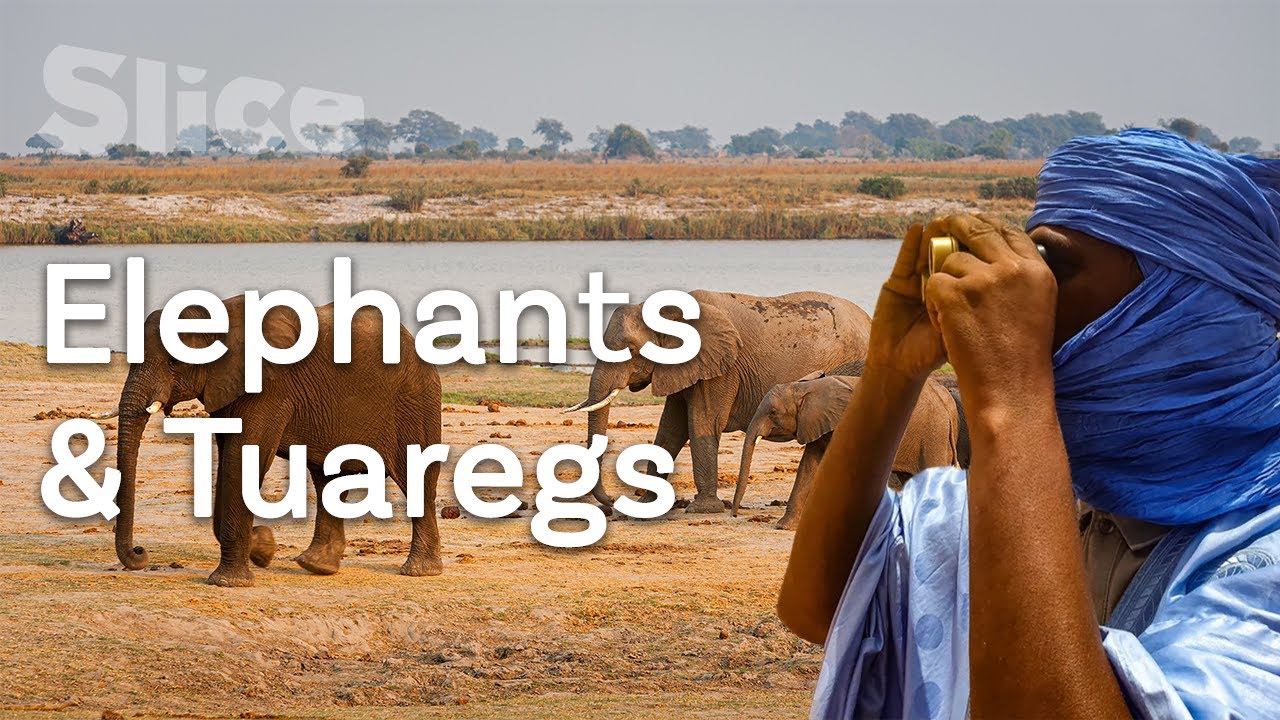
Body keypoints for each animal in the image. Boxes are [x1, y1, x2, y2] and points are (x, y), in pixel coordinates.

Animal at [106, 295, 443, 587]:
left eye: (175, 363)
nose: (140, 553)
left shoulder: (269, 388)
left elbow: (243, 458)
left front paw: (229, 582)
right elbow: (229, 457)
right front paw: (263, 548)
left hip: (416, 400)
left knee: (415, 476)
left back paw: (419, 571)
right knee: (327, 478)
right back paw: (316, 565)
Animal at [565, 290, 871, 514]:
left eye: (630, 349)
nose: (611, 505)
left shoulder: (721, 367)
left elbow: (703, 422)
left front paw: (703, 510)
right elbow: (671, 430)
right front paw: (647, 505)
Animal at [733, 371, 966, 529]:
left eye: (772, 412)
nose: (734, 515)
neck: (807, 388)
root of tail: (948, 404)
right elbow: (808, 465)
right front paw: (784, 526)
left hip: (933, 436)